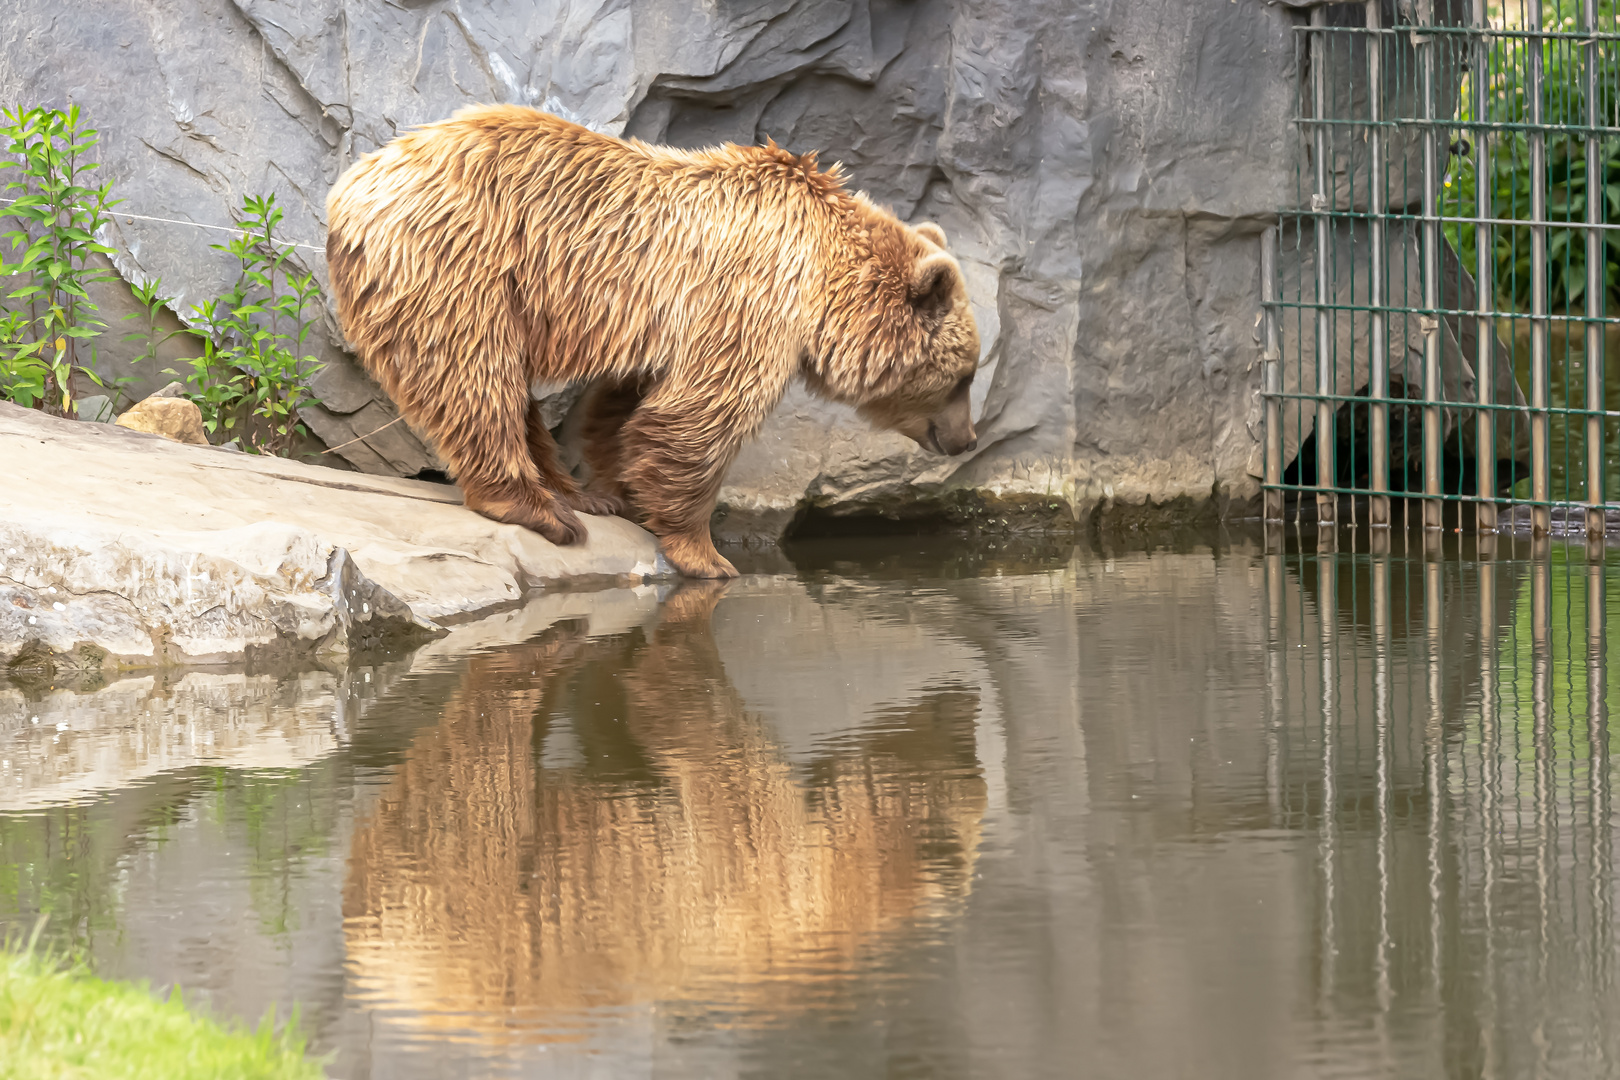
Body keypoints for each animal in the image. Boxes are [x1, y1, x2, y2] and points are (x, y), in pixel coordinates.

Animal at [325, 105, 972, 579]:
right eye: (963, 376)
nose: (964, 440)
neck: (823, 278)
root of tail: (353, 185)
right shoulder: (753, 296)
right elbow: (701, 416)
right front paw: (708, 556)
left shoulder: (675, 323)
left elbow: (629, 405)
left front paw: (621, 488)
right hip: (456, 260)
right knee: (470, 372)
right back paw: (539, 507)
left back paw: (577, 495)